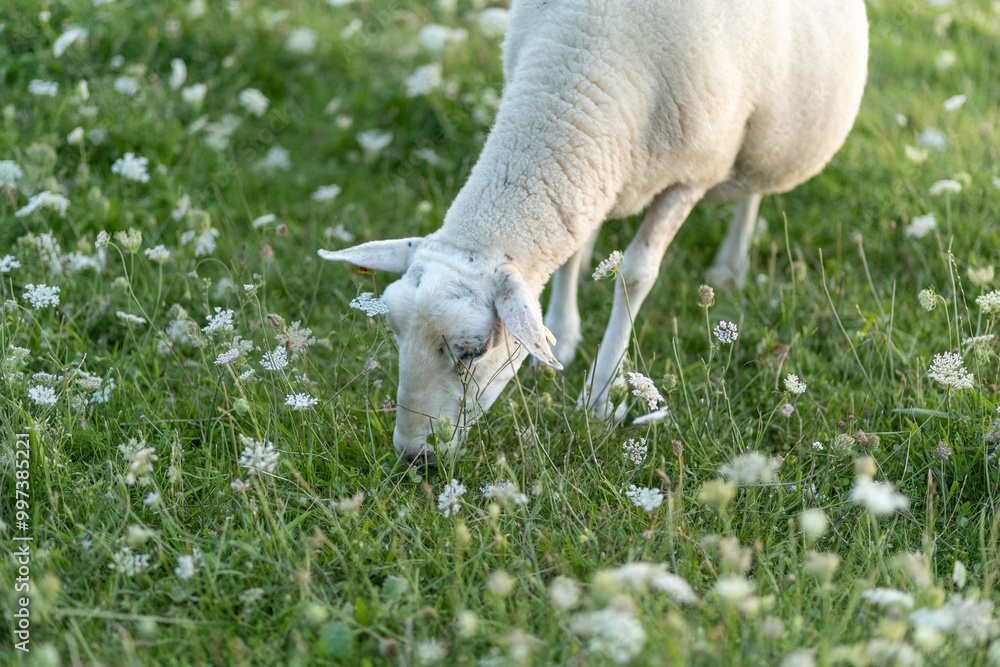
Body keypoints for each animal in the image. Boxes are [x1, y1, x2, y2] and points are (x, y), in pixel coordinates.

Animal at [320, 0, 869, 464]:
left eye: (472, 351)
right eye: (394, 333)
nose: (414, 457)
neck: (582, 66)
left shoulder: (690, 175)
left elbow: (637, 276)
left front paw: (598, 398)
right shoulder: (588, 167)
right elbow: (574, 251)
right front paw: (561, 334)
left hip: (766, 135)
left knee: (752, 189)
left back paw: (730, 263)